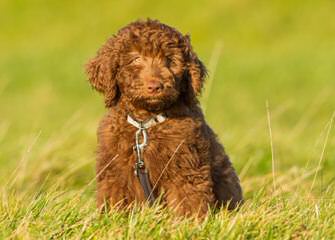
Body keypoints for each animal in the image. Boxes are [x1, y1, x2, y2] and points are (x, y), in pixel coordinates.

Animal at [86, 19, 244, 217]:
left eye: (170, 60)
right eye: (136, 59)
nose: (155, 86)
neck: (146, 124)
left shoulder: (185, 168)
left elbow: (188, 203)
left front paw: (189, 222)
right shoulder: (114, 171)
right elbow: (114, 200)